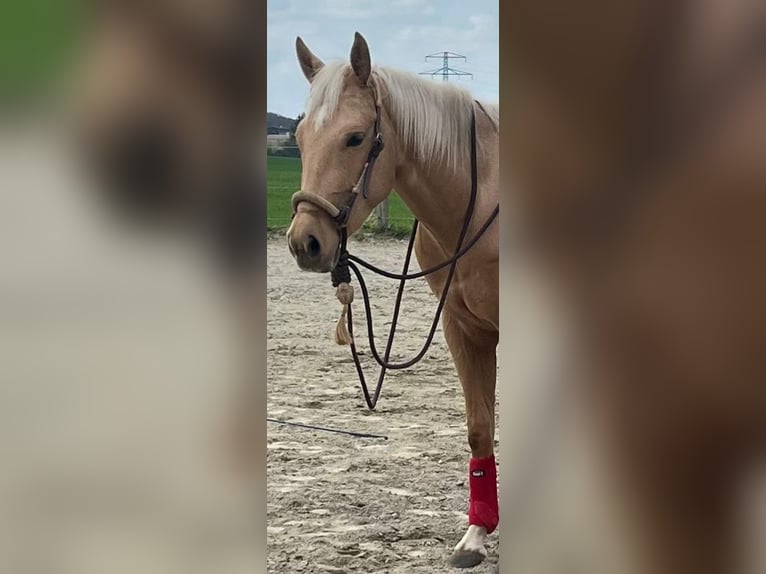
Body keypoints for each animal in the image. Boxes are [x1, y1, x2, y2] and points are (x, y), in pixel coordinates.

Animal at [286, 33, 499, 568]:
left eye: (355, 138)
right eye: (300, 138)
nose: (305, 243)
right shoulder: (463, 328)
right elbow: (479, 427)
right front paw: (475, 536)